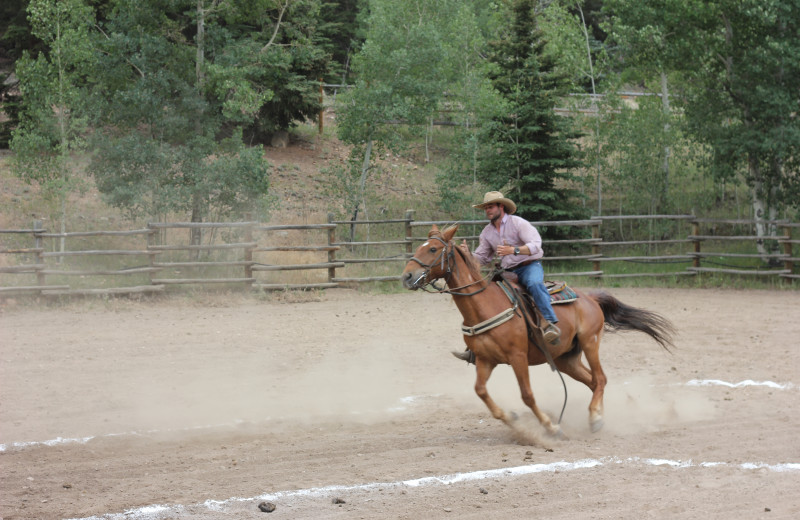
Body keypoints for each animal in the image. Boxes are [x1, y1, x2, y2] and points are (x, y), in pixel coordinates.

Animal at [400, 225, 676, 436]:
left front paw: (551, 427)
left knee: (600, 378)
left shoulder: (517, 357)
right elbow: (480, 391)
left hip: (591, 341)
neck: (484, 307)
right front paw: (511, 419)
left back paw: (596, 419)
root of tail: (590, 298)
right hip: (565, 359)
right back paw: (601, 414)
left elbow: (527, 395)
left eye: (433, 249)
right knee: (593, 381)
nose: (406, 276)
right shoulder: (486, 360)